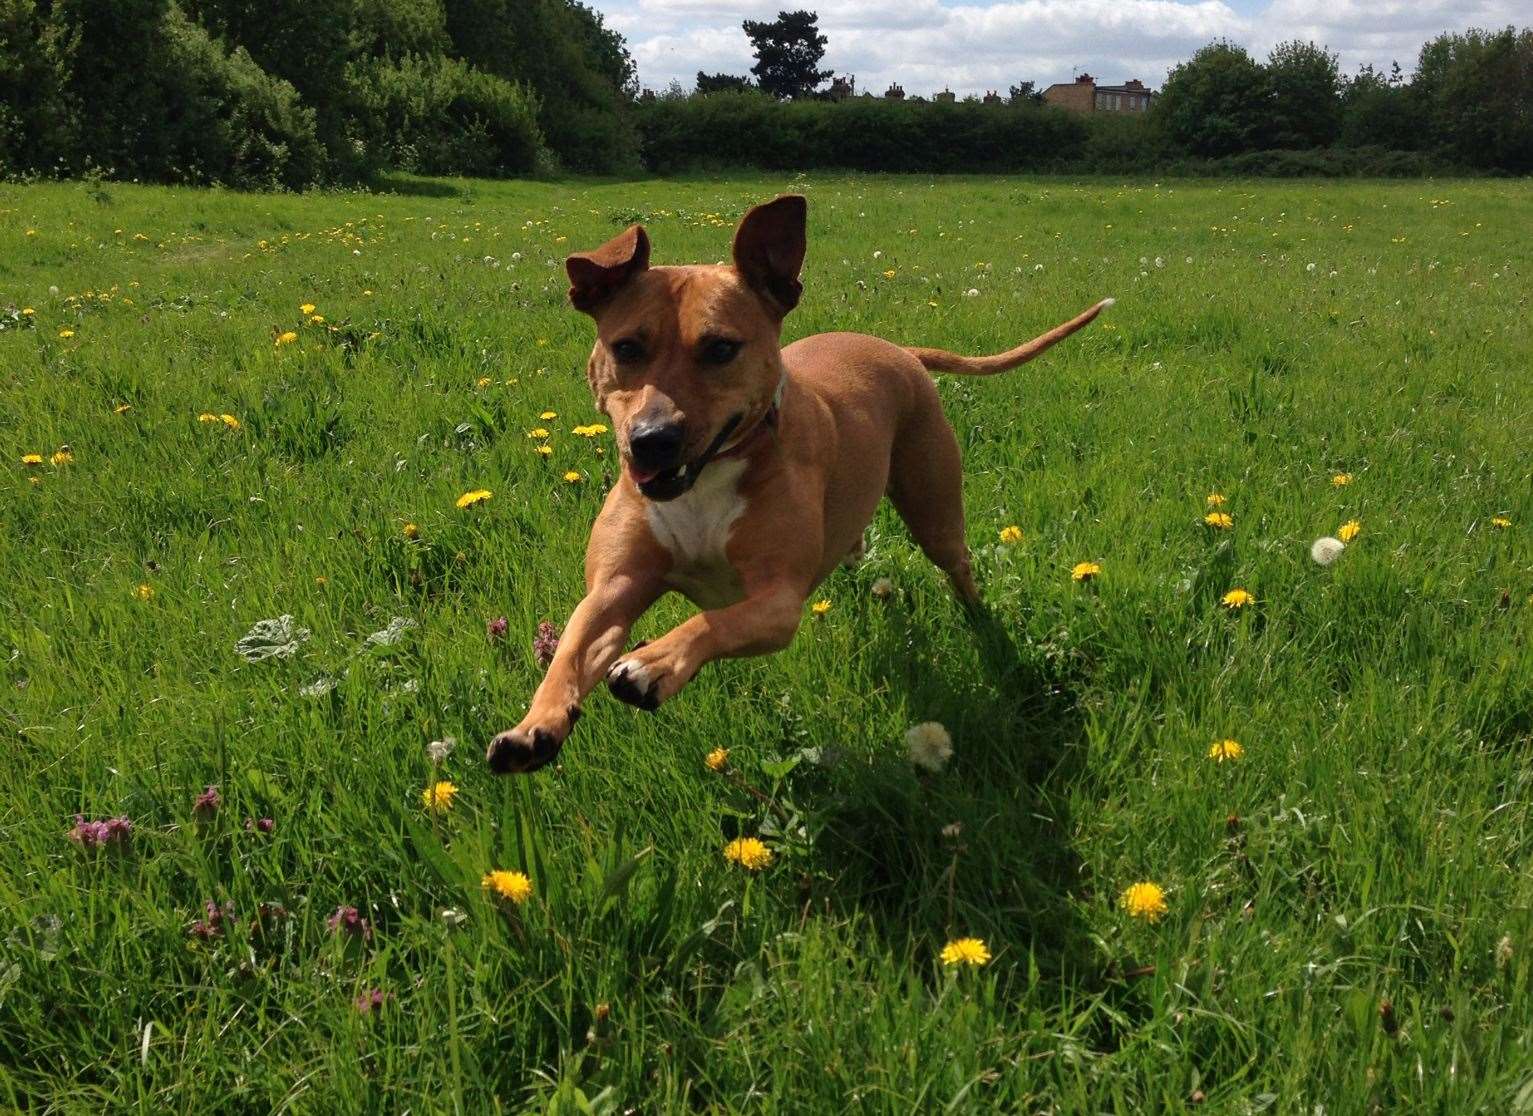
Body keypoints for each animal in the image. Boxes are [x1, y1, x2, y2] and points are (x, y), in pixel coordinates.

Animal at [490, 196, 1116, 772]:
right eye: (625, 347)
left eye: (721, 348)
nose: (652, 439)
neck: (706, 483)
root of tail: (900, 351)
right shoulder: (614, 587)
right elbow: (571, 651)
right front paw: (534, 725)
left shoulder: (777, 602)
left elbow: (712, 620)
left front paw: (654, 662)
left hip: (934, 505)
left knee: (957, 563)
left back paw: (977, 616)